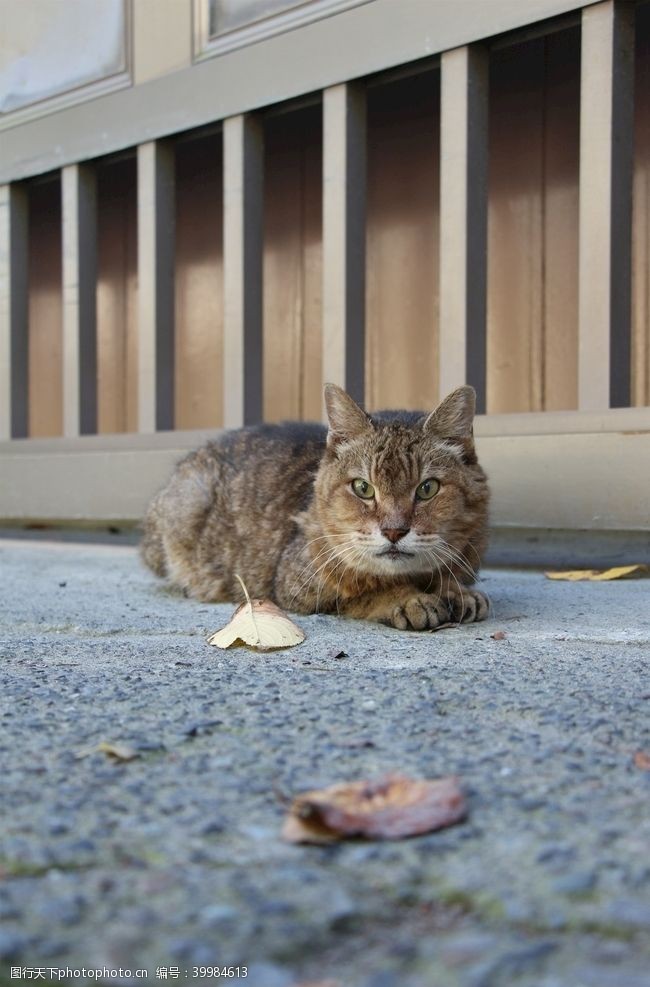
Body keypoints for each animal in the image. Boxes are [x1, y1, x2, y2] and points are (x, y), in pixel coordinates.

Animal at [140, 382, 486, 628]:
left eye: (427, 489)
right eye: (363, 488)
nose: (394, 531)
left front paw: (454, 591)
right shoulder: (294, 589)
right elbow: (366, 591)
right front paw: (409, 599)